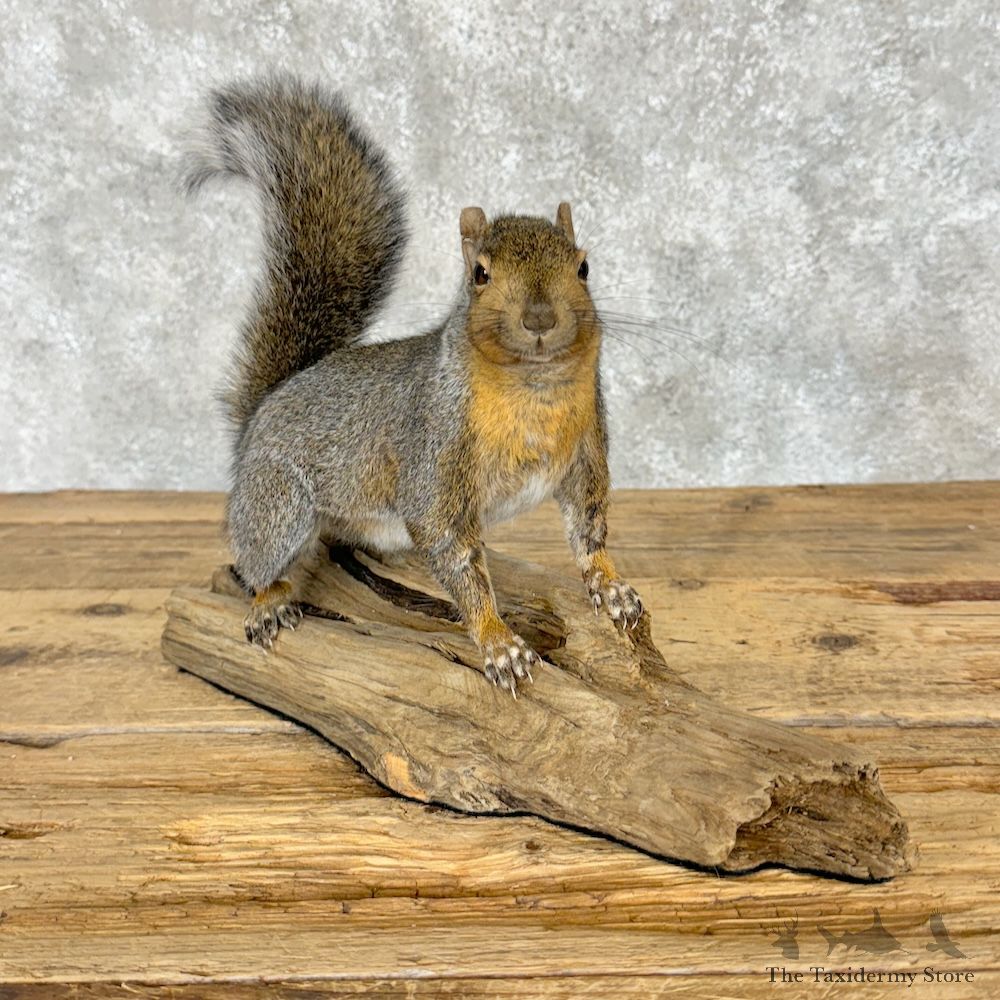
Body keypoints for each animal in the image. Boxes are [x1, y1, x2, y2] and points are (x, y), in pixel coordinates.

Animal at [185, 74, 642, 695]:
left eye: (584, 267)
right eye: (479, 274)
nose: (540, 318)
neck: (535, 388)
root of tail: (264, 410)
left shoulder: (586, 447)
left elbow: (588, 526)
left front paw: (609, 584)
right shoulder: (436, 442)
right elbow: (451, 546)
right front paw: (497, 641)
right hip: (278, 502)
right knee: (255, 558)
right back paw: (267, 599)